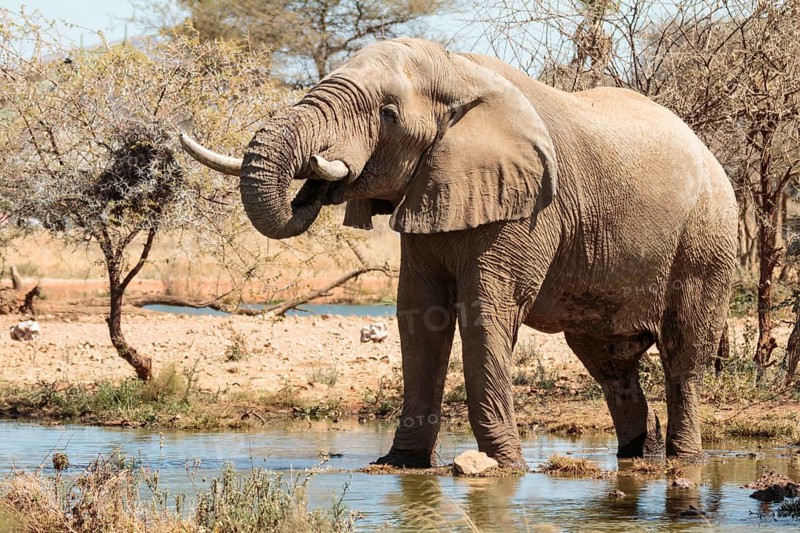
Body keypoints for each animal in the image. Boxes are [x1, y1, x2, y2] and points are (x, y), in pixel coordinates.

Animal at [180, 38, 738, 467]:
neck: (456, 69)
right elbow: (418, 314)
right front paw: (398, 465)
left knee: (683, 352)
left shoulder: (528, 206)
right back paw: (636, 457)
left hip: (707, 239)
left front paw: (503, 467)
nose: (319, 178)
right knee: (609, 361)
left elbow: (486, 309)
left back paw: (684, 461)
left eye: (387, 113)